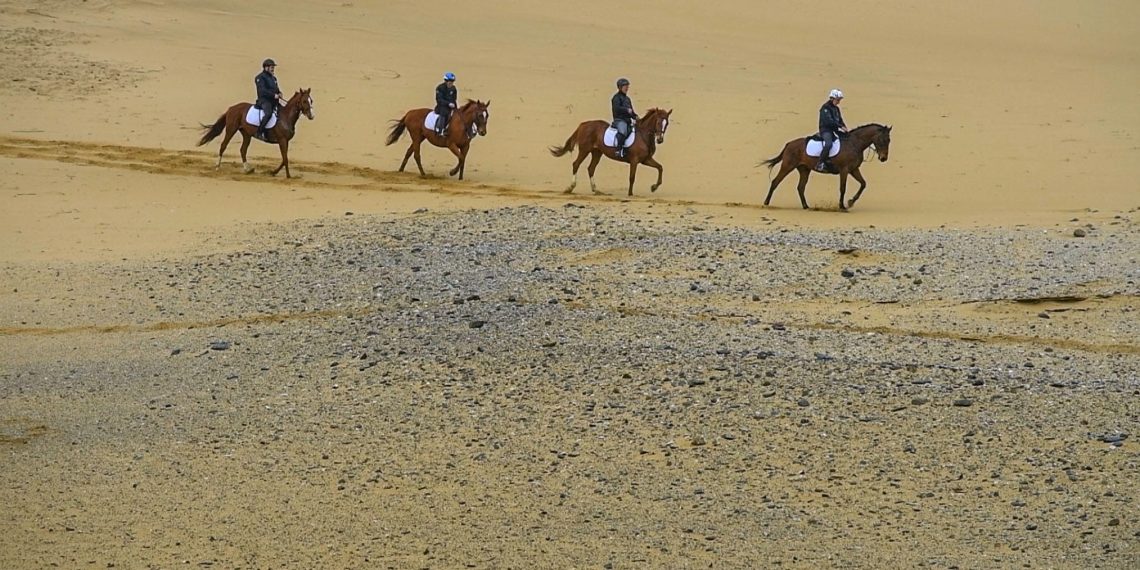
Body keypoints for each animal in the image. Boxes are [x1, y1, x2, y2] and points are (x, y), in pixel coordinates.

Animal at [760, 123, 892, 210]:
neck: (854, 144)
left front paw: (850, 202)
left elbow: (863, 184)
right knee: (775, 182)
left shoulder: (854, 169)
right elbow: (842, 188)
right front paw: (842, 206)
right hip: (787, 166)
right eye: (882, 139)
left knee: (800, 187)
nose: (883, 158)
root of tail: (789, 144)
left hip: (804, 170)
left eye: (889, 140)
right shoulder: (844, 170)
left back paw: (806, 206)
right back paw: (766, 203)